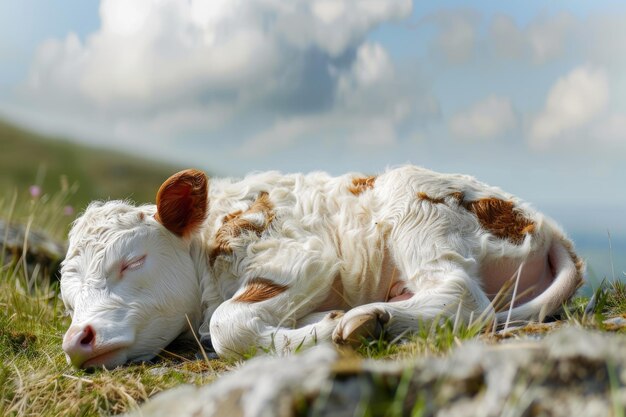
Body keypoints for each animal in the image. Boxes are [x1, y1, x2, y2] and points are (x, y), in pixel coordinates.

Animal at [61, 166, 584, 368]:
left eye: (133, 261)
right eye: (67, 299)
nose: (76, 339)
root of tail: (546, 225)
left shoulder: (301, 257)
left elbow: (228, 324)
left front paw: (327, 326)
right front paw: (318, 320)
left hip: (420, 212)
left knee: (463, 298)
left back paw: (364, 321)